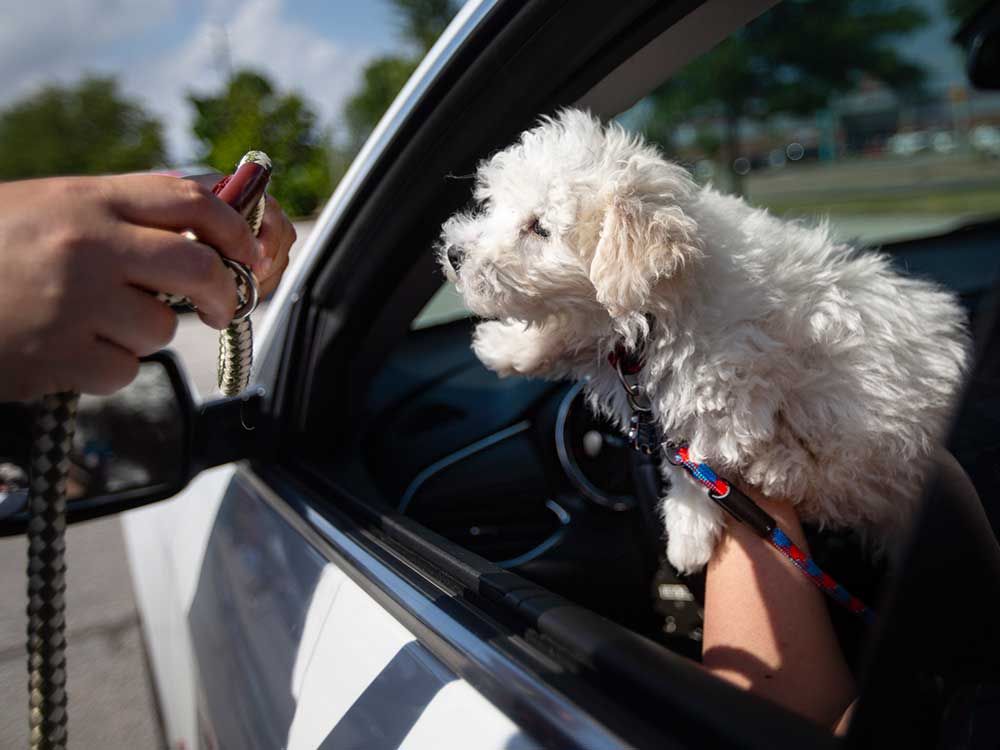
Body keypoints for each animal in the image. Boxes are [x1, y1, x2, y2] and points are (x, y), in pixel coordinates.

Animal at [438, 108, 968, 572]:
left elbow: (698, 461)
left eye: (538, 228)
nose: (453, 254)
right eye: (495, 205)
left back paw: (780, 467)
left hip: (872, 430)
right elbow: (569, 335)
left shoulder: (727, 391)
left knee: (839, 480)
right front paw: (506, 347)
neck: (663, 301)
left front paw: (688, 533)